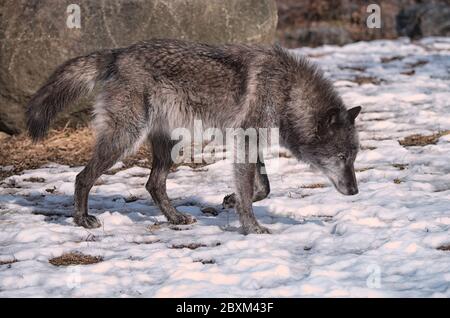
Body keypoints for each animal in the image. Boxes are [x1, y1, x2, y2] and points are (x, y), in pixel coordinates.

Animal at [26, 39, 360, 234]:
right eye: (342, 157)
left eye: (353, 158)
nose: (356, 191)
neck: (288, 90)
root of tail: (117, 54)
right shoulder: (246, 141)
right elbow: (252, 190)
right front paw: (251, 227)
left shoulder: (251, 142)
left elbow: (262, 187)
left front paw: (231, 200)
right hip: (124, 139)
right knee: (83, 177)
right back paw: (83, 220)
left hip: (169, 146)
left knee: (153, 184)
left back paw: (176, 219)